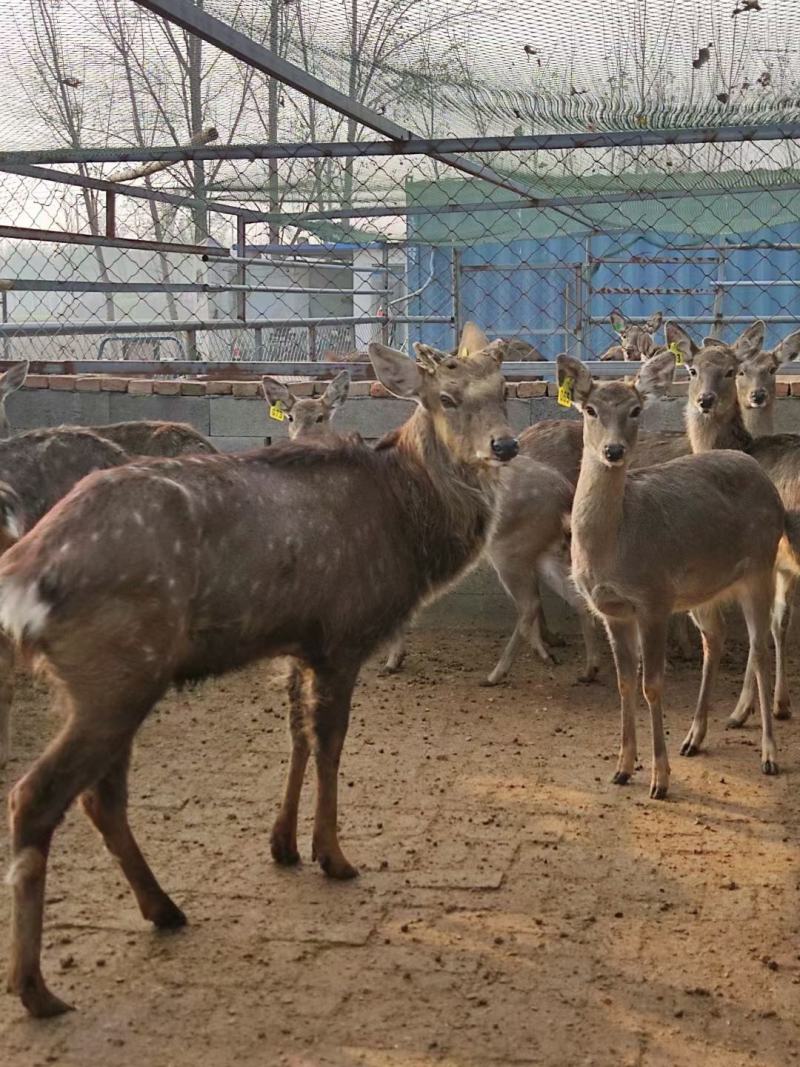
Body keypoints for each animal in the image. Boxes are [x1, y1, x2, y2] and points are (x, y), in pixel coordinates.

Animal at [0, 339, 520, 1015]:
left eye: (506, 389)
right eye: (447, 397)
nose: (505, 446)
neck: (408, 529)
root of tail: (23, 570)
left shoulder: (297, 640)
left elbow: (295, 734)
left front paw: (283, 844)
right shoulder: (343, 634)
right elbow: (330, 744)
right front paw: (333, 855)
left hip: (113, 680)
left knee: (99, 796)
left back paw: (163, 908)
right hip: (114, 672)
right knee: (36, 795)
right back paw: (36, 988)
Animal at [558, 347, 797, 802]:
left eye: (636, 409)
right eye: (590, 409)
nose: (613, 450)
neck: (615, 545)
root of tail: (754, 467)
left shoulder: (654, 598)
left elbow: (652, 683)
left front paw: (659, 779)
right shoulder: (613, 609)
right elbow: (624, 682)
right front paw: (621, 769)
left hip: (761, 565)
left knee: (760, 644)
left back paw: (769, 753)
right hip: (702, 588)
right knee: (716, 638)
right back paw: (694, 737)